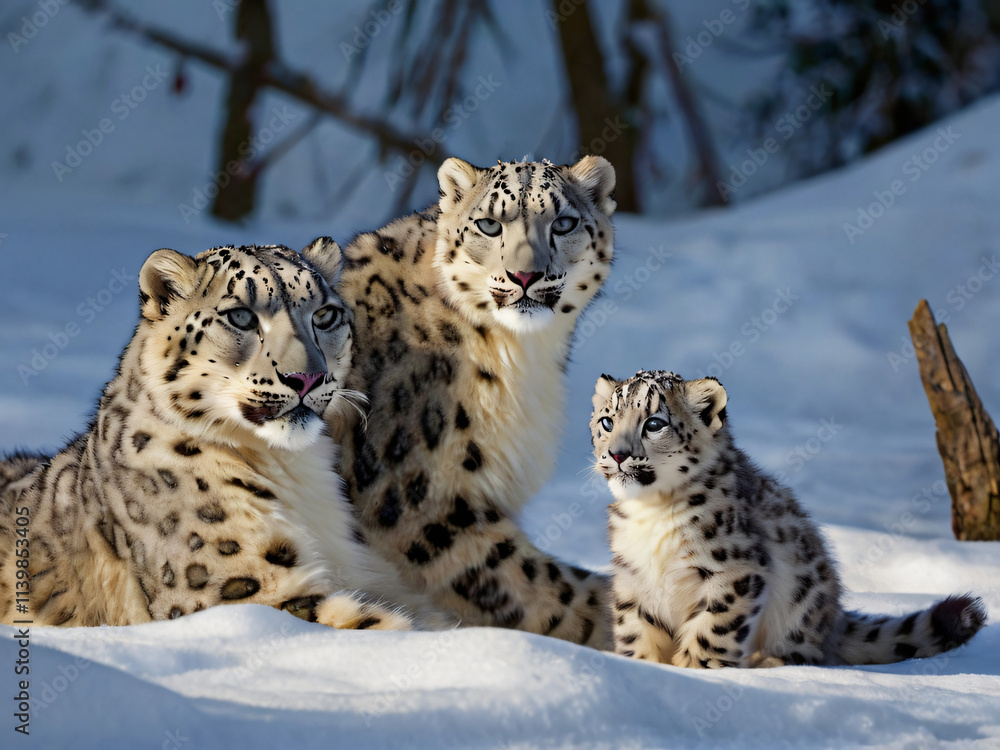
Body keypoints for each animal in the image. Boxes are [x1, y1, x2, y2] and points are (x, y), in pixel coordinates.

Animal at [590, 370, 986, 667]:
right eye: (607, 421)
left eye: (654, 423)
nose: (618, 454)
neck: (652, 512)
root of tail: (832, 615)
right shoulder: (633, 580)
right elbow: (635, 632)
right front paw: (646, 667)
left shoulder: (735, 572)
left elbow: (712, 631)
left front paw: (696, 671)